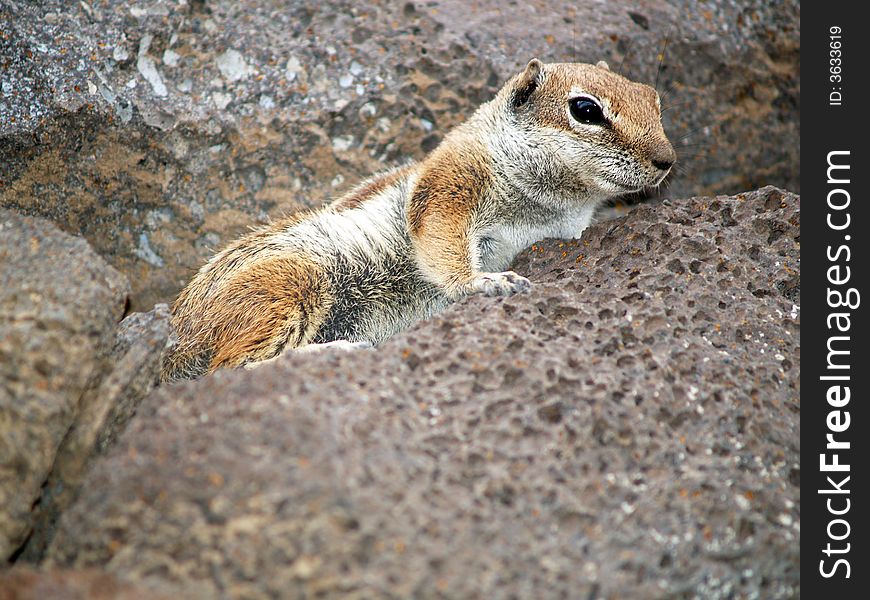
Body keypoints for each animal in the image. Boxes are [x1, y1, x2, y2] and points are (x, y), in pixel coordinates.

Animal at [165, 57, 680, 380]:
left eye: (654, 99)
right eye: (586, 110)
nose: (667, 160)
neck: (550, 205)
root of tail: (176, 344)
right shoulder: (451, 179)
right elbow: (440, 236)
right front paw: (483, 282)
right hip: (286, 283)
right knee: (227, 370)